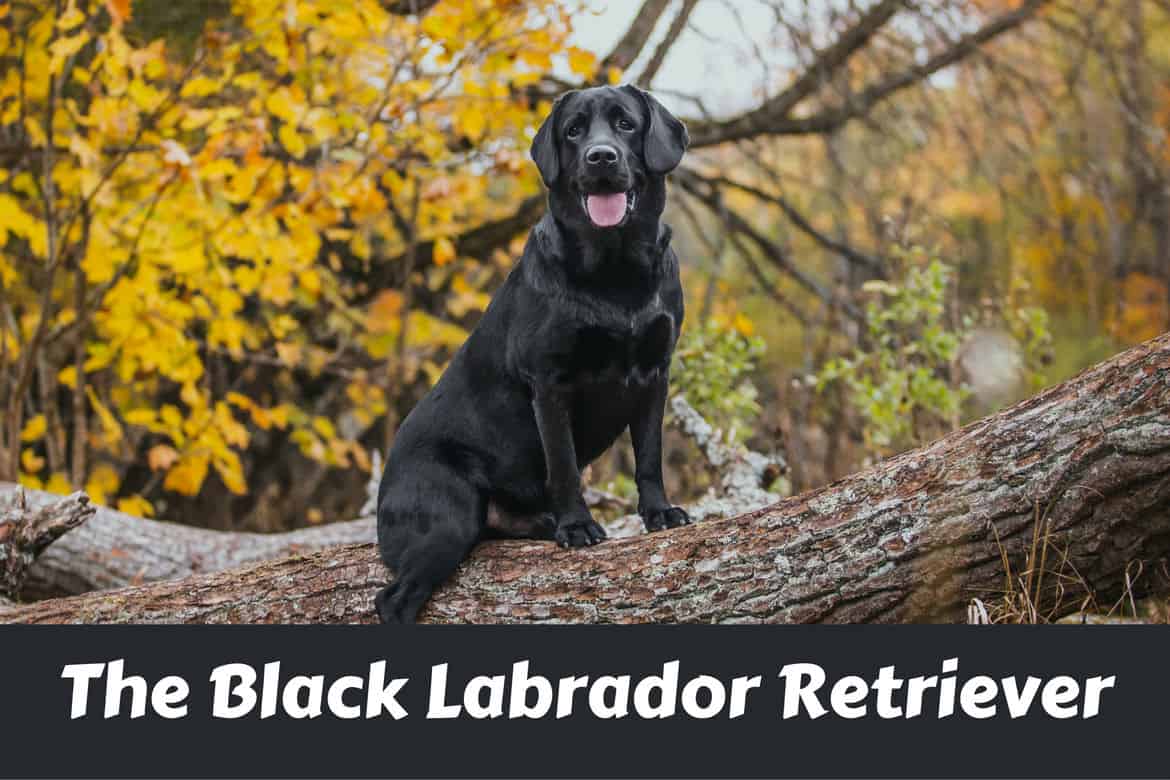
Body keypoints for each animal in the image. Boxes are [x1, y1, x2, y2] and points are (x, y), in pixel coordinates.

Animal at [374, 84, 687, 622]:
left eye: (625, 124)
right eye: (574, 131)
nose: (600, 156)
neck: (615, 269)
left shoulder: (654, 374)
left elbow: (648, 456)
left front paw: (659, 513)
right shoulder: (550, 382)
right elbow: (563, 464)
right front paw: (576, 525)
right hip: (447, 520)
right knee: (391, 600)